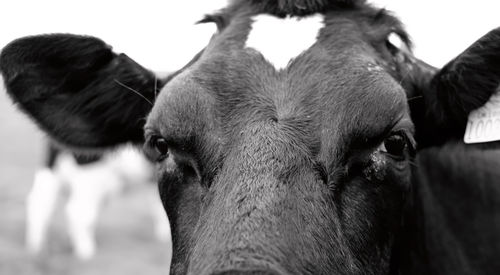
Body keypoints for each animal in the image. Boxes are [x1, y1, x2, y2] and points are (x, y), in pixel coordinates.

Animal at [25, 143, 172, 262]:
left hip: (52, 168)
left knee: (41, 202)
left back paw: (37, 247)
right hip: (92, 175)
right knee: (77, 211)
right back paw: (86, 252)